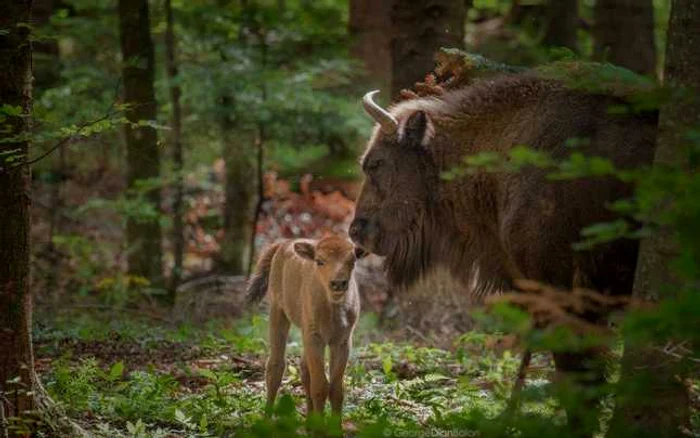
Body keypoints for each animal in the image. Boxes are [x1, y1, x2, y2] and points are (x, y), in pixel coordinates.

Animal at [247, 234, 366, 420]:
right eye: (320, 261)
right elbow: (320, 387)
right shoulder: (314, 338)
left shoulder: (342, 342)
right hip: (278, 311)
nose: (338, 283)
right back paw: (266, 420)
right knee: (275, 366)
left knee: (303, 368)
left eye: (352, 261)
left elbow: (336, 390)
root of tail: (283, 244)